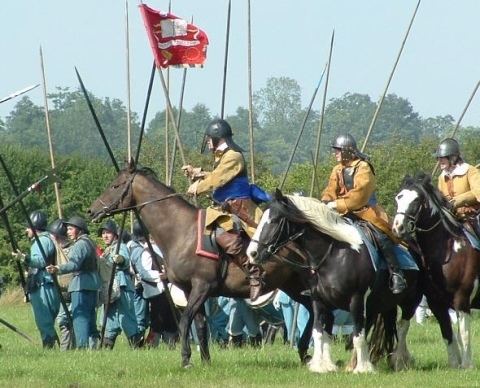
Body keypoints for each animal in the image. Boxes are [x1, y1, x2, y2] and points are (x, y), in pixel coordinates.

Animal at [86, 160, 314, 366]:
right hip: (292, 285)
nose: (91, 211)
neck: (180, 231)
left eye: (116, 185)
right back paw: (304, 352)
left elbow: (185, 320)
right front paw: (205, 361)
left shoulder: (202, 286)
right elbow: (201, 325)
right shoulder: (190, 290)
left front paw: (186, 359)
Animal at [248, 191, 420, 372]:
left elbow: (357, 335)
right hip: (381, 304)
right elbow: (319, 333)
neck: (333, 256)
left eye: (274, 220)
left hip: (410, 301)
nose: (252, 253)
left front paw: (363, 369)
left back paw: (399, 360)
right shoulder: (318, 301)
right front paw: (321, 366)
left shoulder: (356, 300)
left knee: (402, 327)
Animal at [392, 172, 478, 366]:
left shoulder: (462, 298)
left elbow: (464, 333)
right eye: (399, 197)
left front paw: (466, 365)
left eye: (416, 200)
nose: (398, 227)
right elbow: (447, 333)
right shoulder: (436, 302)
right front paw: (454, 364)